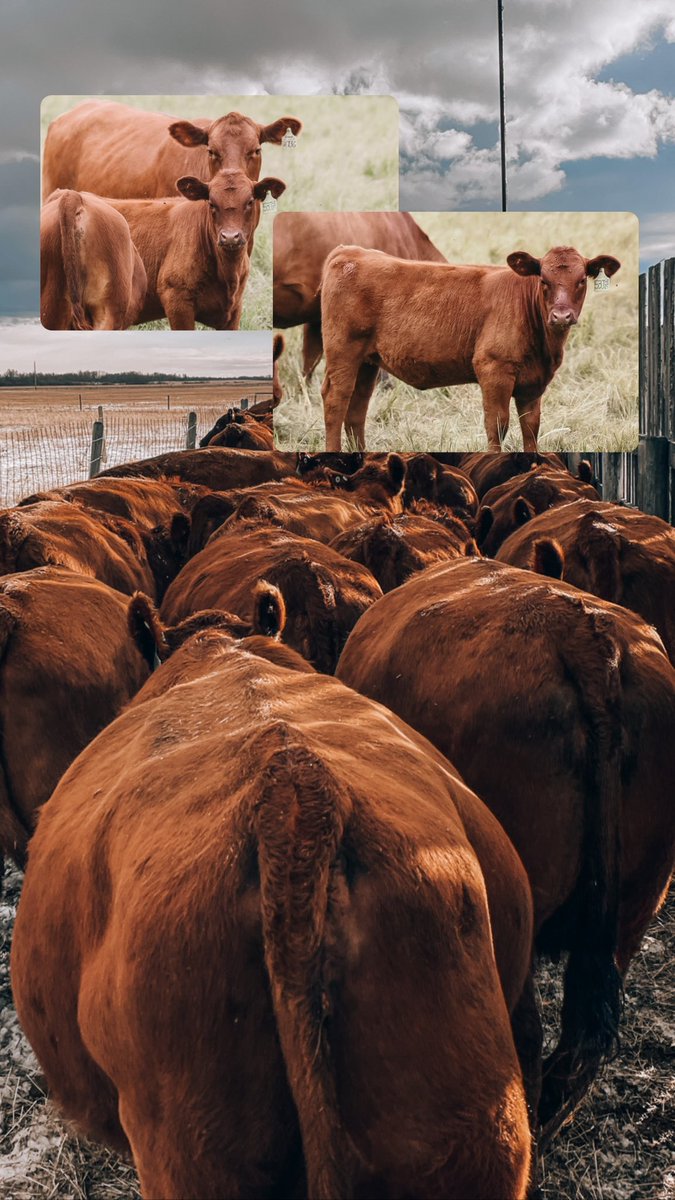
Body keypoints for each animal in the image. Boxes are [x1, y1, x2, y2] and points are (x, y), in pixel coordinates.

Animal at [104, 172, 285, 330]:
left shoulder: (234, 310)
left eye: (249, 202)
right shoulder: (177, 301)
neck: (227, 274)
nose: (230, 237)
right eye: (211, 203)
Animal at [319, 245, 621, 452]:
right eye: (543, 280)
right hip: (343, 352)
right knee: (336, 399)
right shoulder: (493, 369)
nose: (561, 316)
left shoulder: (533, 383)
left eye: (581, 280)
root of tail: (350, 251)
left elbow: (530, 427)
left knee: (357, 408)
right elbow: (497, 425)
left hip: (367, 361)